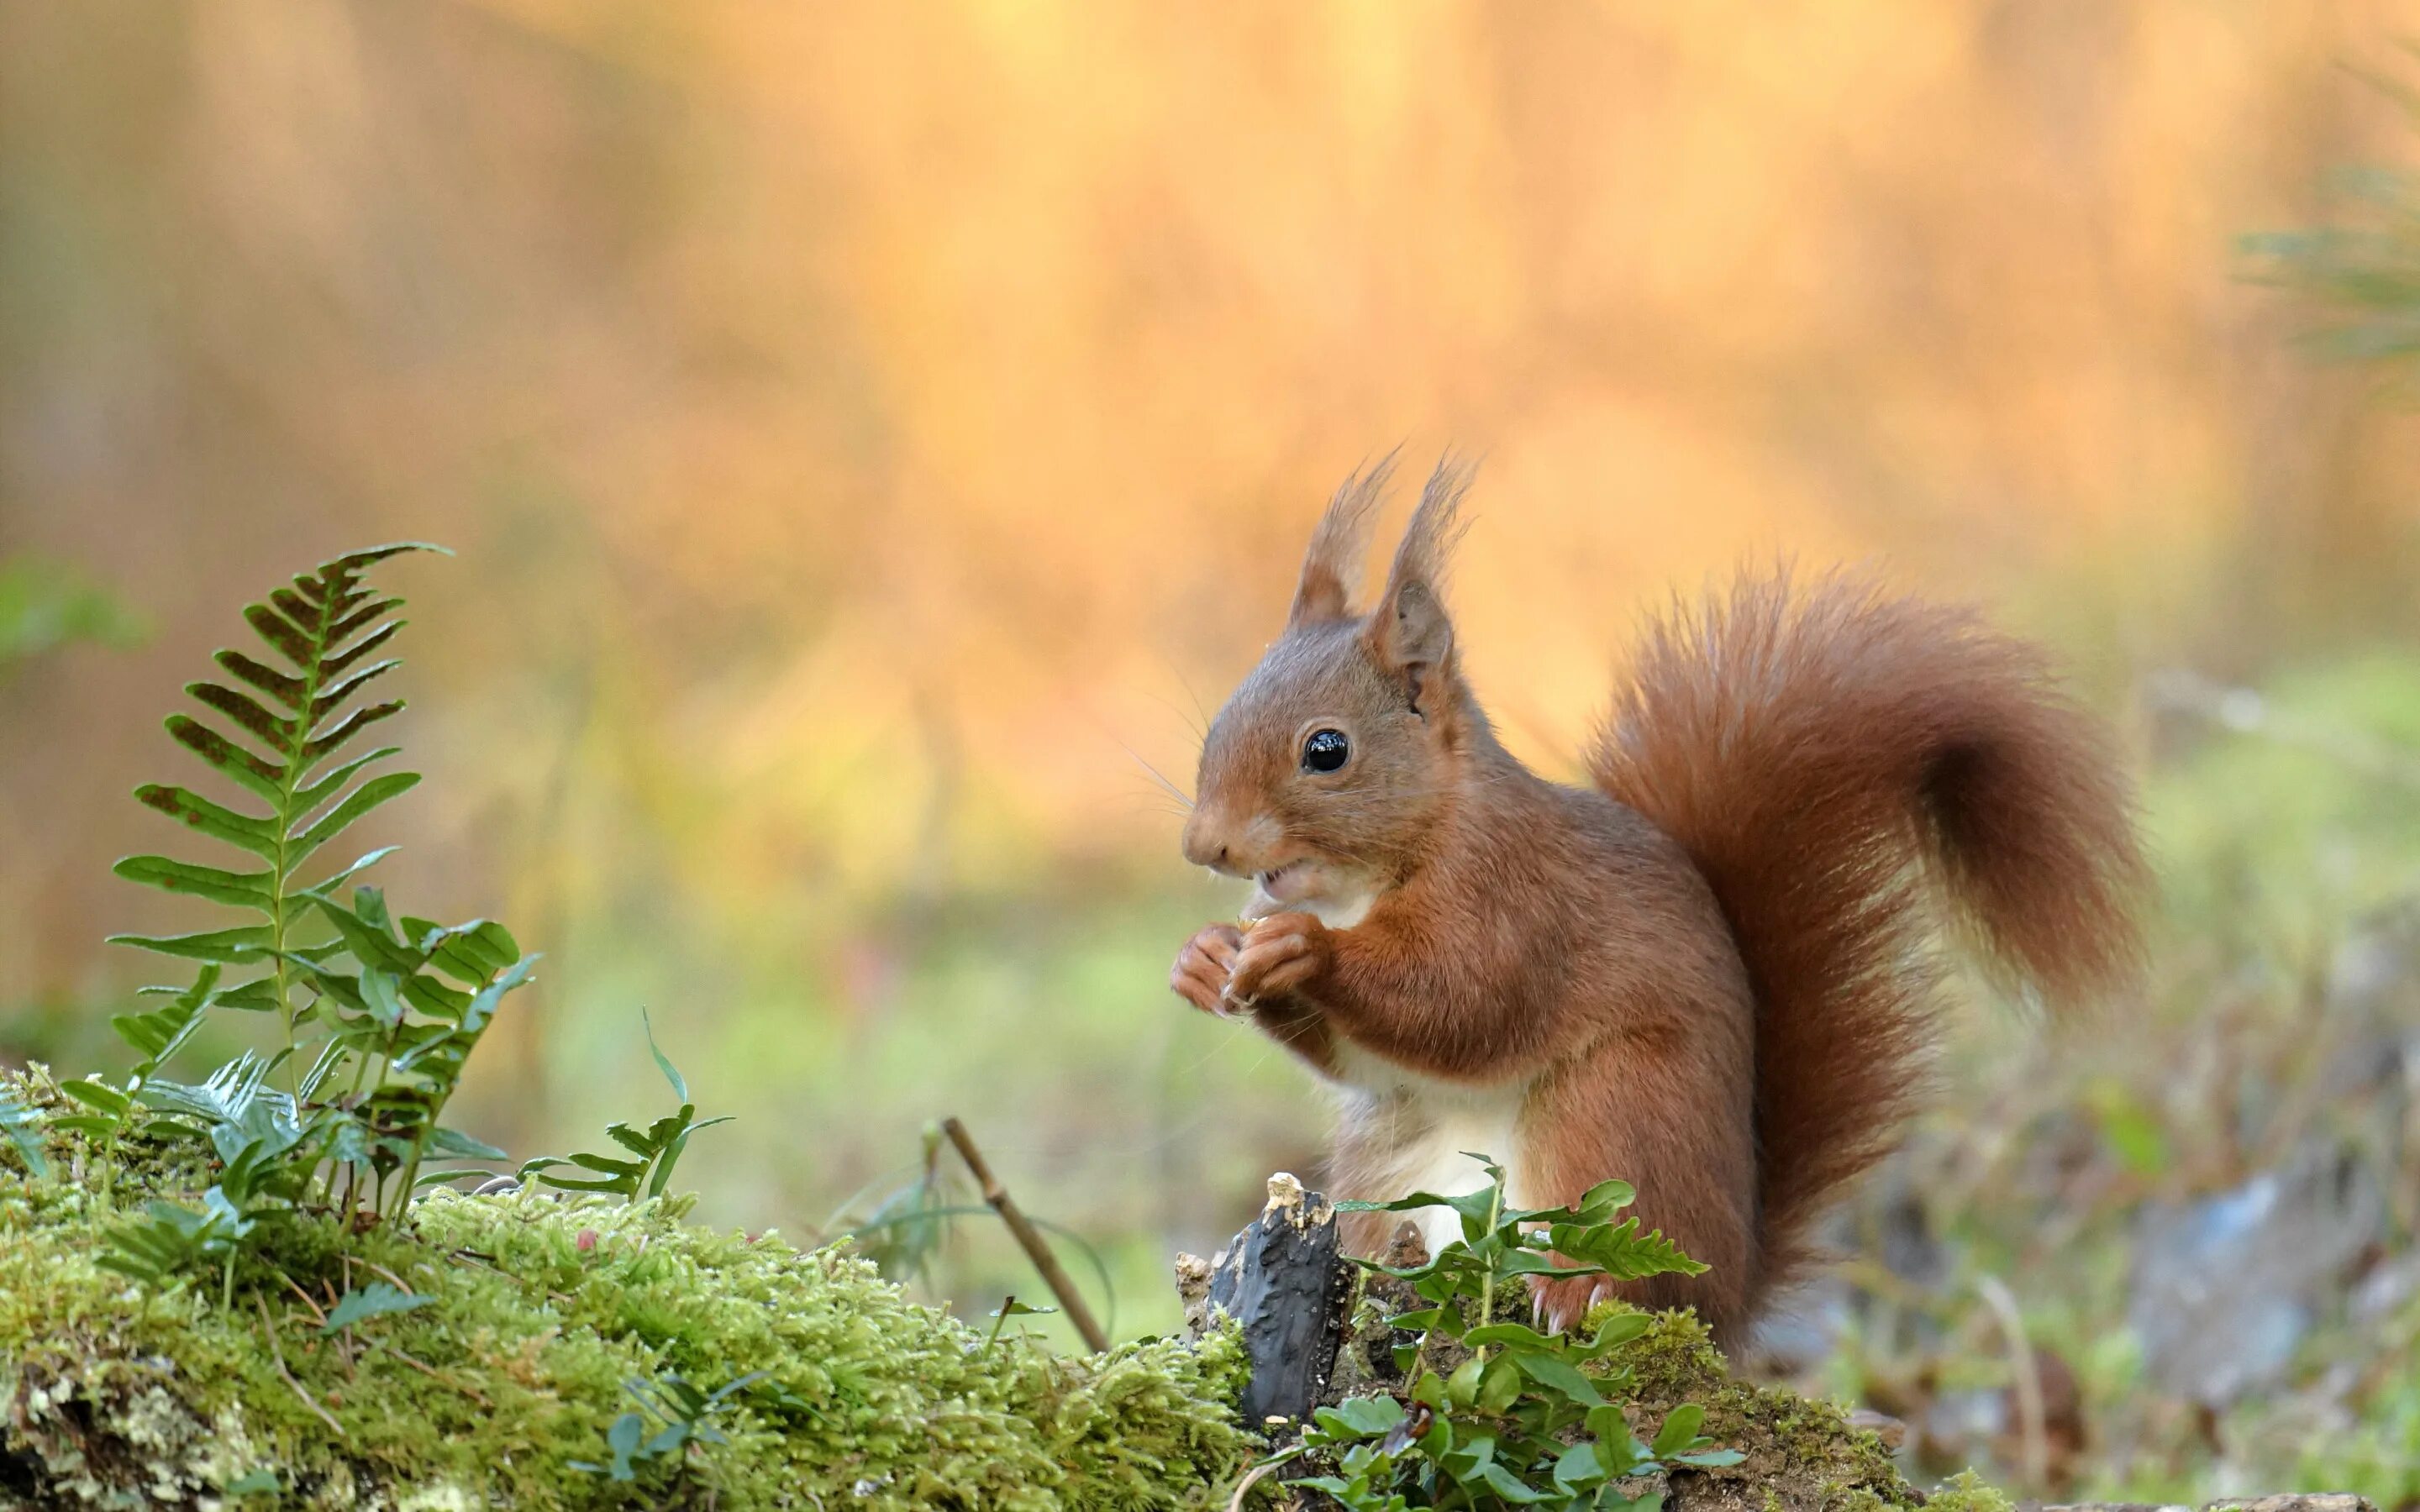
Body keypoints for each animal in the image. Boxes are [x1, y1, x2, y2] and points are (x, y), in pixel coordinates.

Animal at [1166, 457, 2139, 1345]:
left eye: (1326, 750)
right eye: (1219, 719)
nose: (1205, 847)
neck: (1367, 883)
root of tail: (1731, 1298)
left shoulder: (1518, 897)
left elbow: (1464, 998)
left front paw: (1303, 952)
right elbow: (1361, 1057)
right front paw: (1207, 960)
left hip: (1613, 1118)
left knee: (1630, 1274)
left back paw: (1573, 1293)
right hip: (1389, 1159)